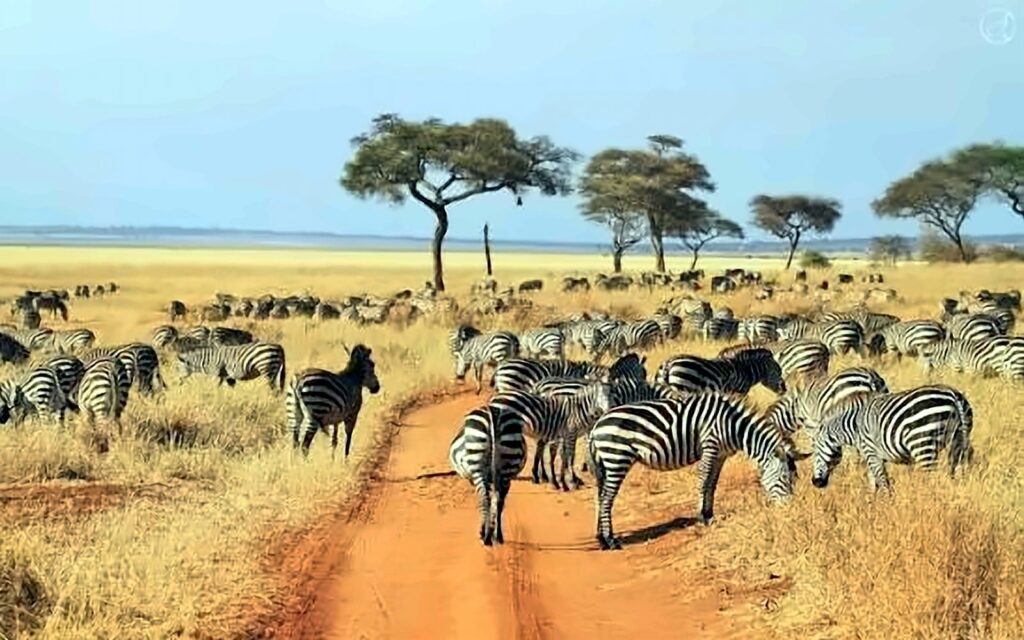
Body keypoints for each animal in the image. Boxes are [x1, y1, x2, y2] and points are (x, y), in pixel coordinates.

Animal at [448, 403, 526, 546]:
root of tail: (492, 414)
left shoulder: (474, 479)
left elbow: (482, 501)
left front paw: (483, 530)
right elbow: (496, 502)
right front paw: (491, 528)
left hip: (477, 465)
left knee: (485, 499)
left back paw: (486, 538)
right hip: (508, 465)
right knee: (499, 501)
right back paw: (498, 535)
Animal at [587, 393, 796, 549]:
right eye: (784, 478)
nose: (788, 510)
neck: (732, 424)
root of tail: (596, 426)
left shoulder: (720, 455)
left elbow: (712, 484)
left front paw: (710, 516)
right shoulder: (710, 446)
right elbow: (703, 481)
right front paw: (702, 517)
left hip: (605, 464)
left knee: (600, 497)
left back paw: (601, 539)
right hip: (617, 457)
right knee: (606, 499)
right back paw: (611, 540)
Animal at [655, 348, 786, 396]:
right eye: (779, 371)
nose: (785, 389)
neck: (745, 369)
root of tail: (669, 364)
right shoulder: (738, 392)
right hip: (683, 388)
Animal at [811, 385, 974, 492]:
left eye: (815, 452)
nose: (815, 483)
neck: (854, 425)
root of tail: (953, 395)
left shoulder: (872, 453)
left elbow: (883, 483)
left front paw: (885, 506)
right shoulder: (872, 456)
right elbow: (873, 483)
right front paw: (871, 504)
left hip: (922, 445)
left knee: (931, 479)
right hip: (958, 440)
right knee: (956, 473)